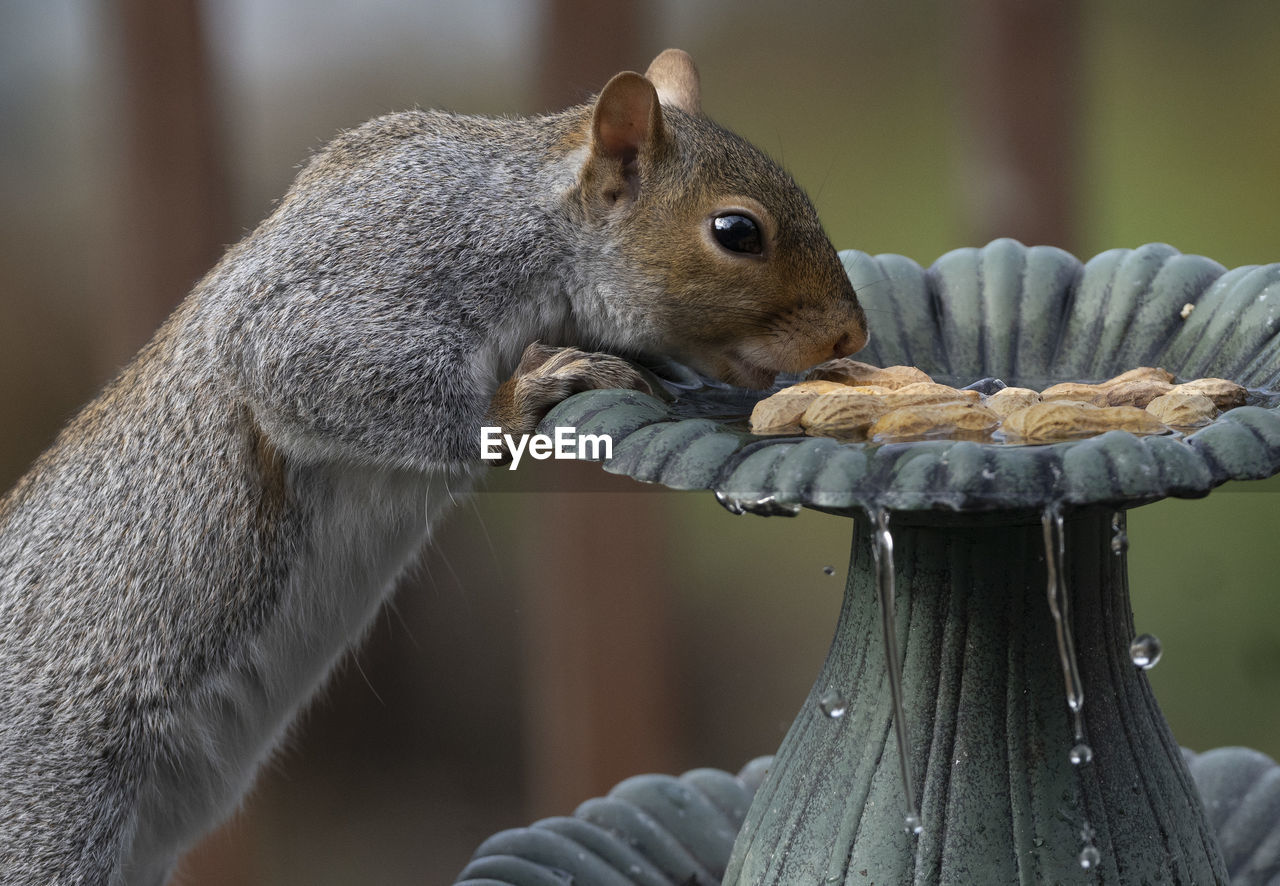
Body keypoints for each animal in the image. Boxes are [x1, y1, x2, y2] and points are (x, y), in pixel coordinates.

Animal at [0, 50, 870, 886]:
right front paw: (524, 397)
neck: (531, 217)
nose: (850, 336)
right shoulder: (384, 269)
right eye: (737, 231)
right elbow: (297, 363)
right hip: (54, 814)